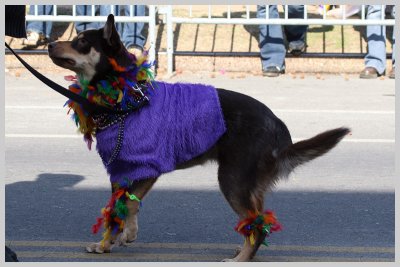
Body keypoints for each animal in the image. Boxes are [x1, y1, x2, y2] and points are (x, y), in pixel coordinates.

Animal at [47, 14, 348, 262]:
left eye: (81, 41)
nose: (49, 45)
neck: (126, 96)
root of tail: (278, 127)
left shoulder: (135, 170)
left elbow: (119, 210)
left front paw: (110, 242)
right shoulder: (136, 172)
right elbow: (128, 205)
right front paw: (121, 237)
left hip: (233, 181)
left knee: (259, 225)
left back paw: (240, 260)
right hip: (250, 187)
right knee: (258, 222)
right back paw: (244, 250)